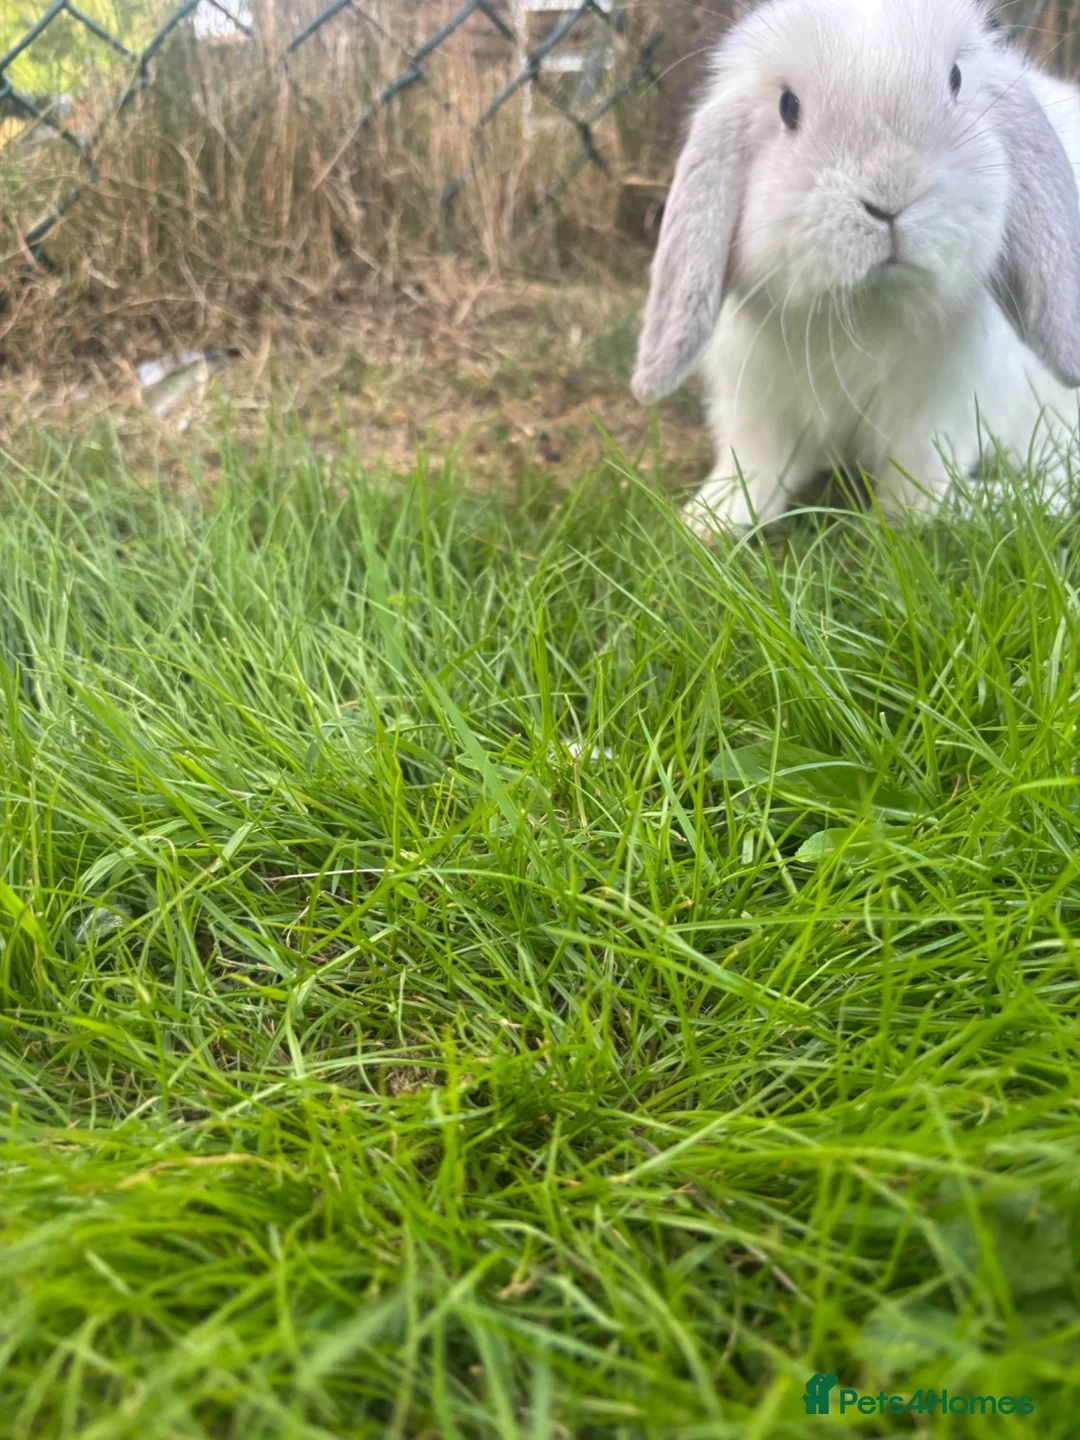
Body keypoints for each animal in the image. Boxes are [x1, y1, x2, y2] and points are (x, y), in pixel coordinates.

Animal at [631, 0, 1080, 532]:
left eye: (954, 80)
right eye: (788, 107)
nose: (889, 195)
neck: (864, 317)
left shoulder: (934, 421)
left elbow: (917, 499)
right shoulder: (756, 409)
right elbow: (752, 470)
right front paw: (709, 521)